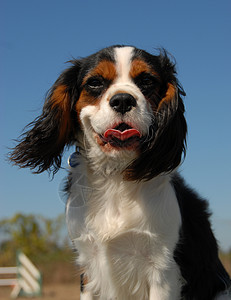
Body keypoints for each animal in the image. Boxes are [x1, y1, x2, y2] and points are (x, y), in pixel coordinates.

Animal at [9, 45, 230, 298]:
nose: (123, 100)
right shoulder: (88, 268)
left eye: (147, 80)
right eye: (95, 82)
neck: (115, 175)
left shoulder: (163, 271)